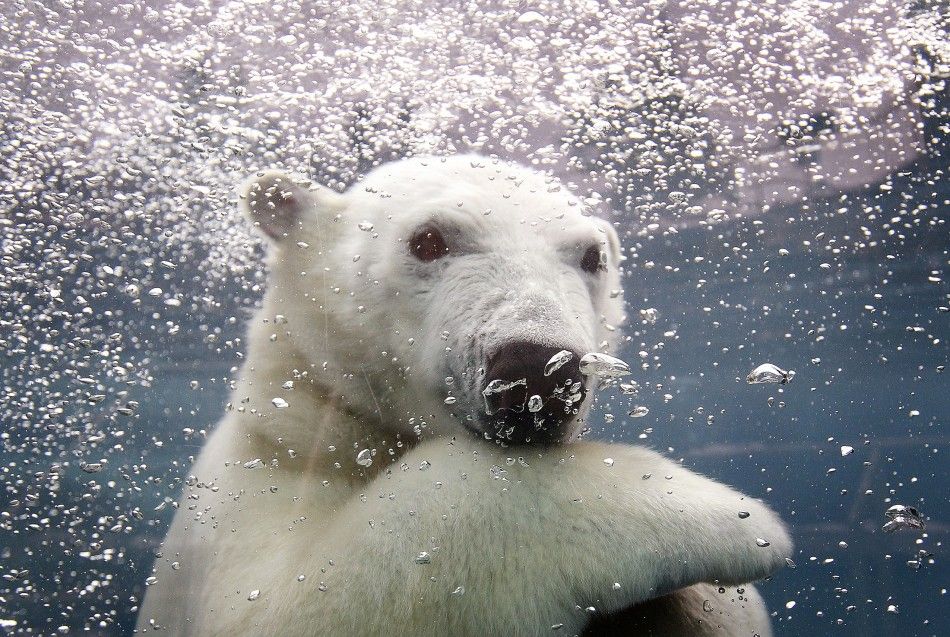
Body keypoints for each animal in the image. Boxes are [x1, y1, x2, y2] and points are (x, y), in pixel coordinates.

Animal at [138, 155, 792, 636]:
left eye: (591, 256)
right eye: (428, 241)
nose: (537, 372)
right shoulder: (255, 478)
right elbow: (295, 603)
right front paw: (722, 517)